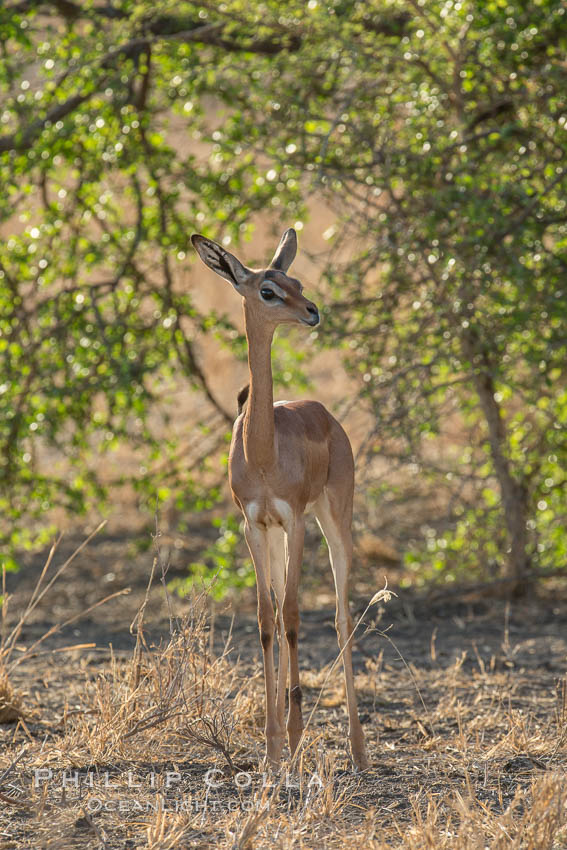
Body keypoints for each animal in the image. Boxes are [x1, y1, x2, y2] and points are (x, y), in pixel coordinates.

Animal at [191, 225, 368, 768]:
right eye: (267, 290)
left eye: (297, 281)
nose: (312, 311)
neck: (263, 452)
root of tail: (324, 413)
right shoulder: (254, 524)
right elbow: (266, 620)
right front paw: (271, 745)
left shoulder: (294, 520)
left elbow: (291, 616)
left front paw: (293, 735)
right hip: (277, 537)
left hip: (331, 522)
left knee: (342, 616)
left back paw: (357, 749)